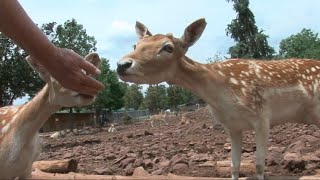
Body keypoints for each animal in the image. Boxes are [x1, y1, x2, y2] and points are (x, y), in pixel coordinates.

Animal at [117, 18, 320, 180]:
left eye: (168, 47)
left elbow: (259, 165)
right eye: (135, 45)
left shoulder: (262, 117)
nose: (122, 64)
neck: (220, 95)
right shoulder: (231, 126)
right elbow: (234, 166)